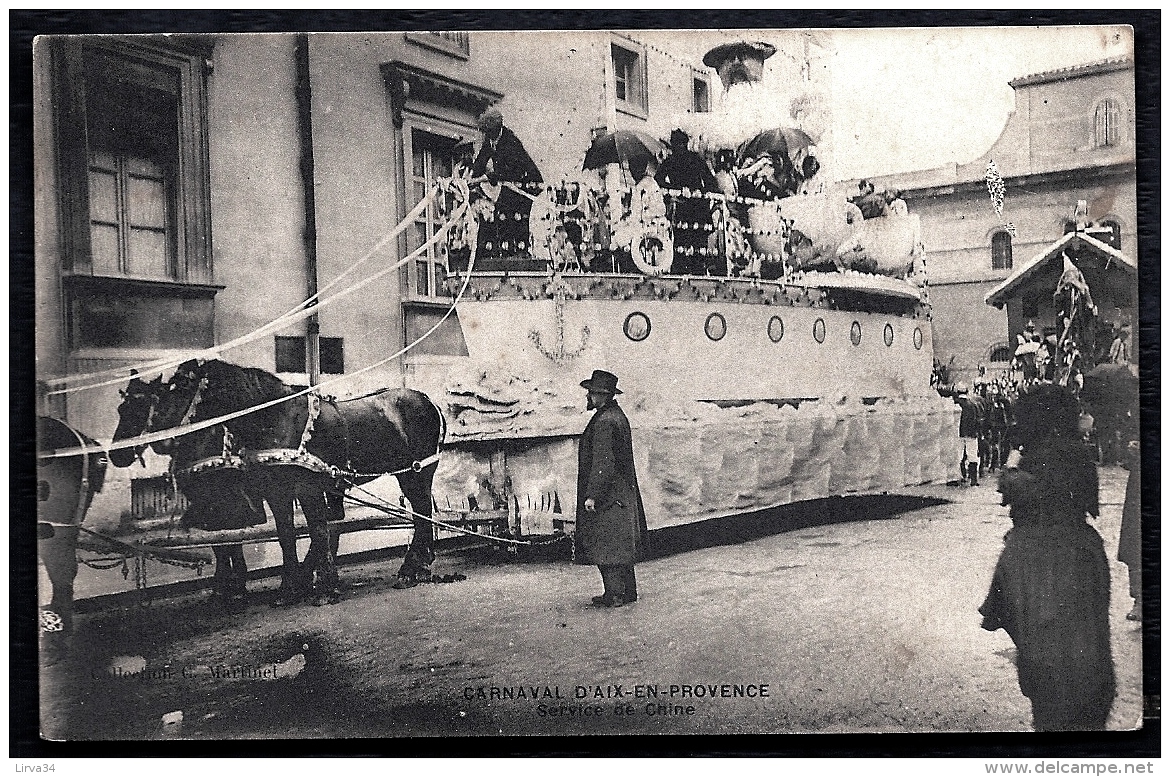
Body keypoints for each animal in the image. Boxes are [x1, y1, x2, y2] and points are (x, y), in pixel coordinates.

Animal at [110, 360, 446, 603]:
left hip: (416, 472)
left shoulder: (305, 488)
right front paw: (288, 588)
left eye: (181, 388)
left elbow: (315, 531)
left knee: (421, 514)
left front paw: (324, 588)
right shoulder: (275, 492)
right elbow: (283, 536)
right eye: (121, 408)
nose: (117, 454)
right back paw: (417, 565)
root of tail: (427, 399)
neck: (276, 419)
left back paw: (413, 569)